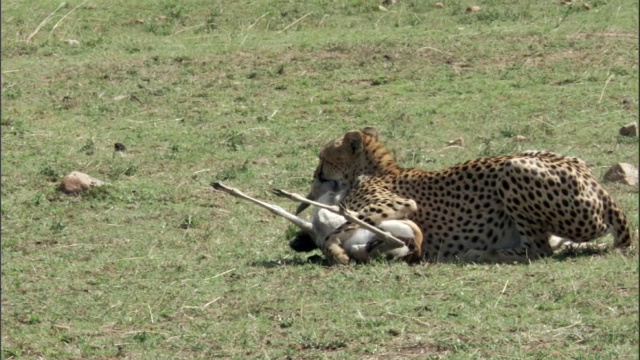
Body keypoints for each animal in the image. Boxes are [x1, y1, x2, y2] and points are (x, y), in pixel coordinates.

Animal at [212, 180, 422, 264]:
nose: (293, 243)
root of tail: (416, 248)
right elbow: (278, 209)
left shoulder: (317, 219)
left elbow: (278, 208)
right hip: (372, 244)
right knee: (390, 241)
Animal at [298, 128, 632, 262]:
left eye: (323, 158)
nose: (315, 176)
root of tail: (599, 188)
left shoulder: (396, 202)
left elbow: (340, 227)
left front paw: (336, 252)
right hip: (533, 155)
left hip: (514, 168)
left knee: (539, 250)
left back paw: (481, 253)